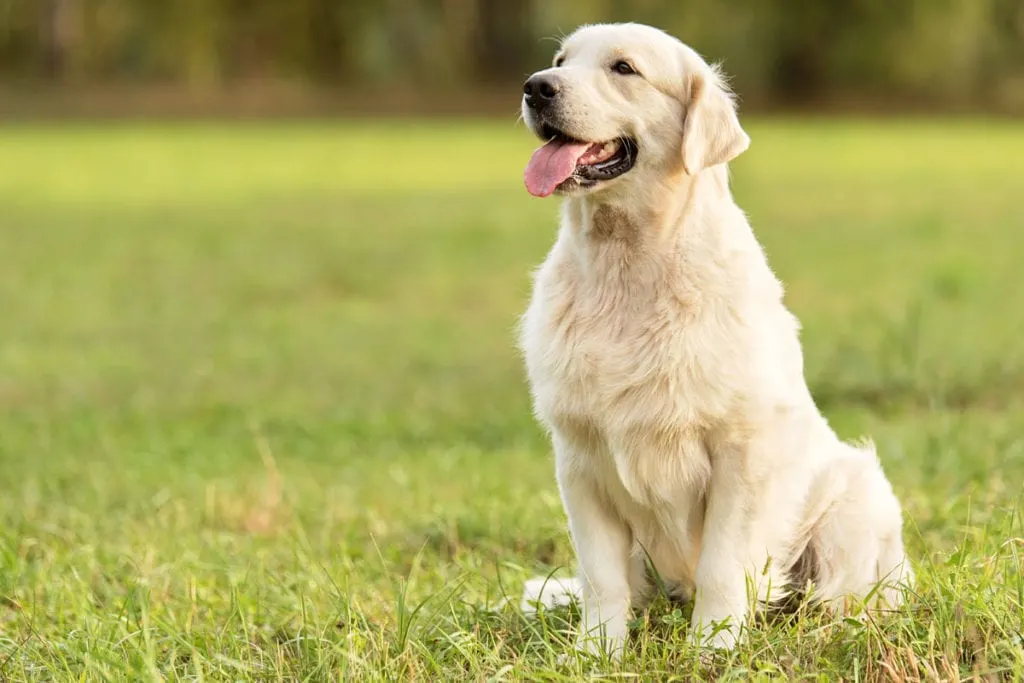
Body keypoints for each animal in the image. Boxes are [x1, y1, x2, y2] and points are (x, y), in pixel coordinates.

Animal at [520, 24, 913, 655]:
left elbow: (724, 564)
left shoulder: (743, 452)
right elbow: (601, 576)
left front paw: (714, 646)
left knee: (846, 595)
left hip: (855, 495)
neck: (627, 268)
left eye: (624, 68)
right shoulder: (580, 457)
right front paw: (597, 651)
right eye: (560, 59)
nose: (536, 87)